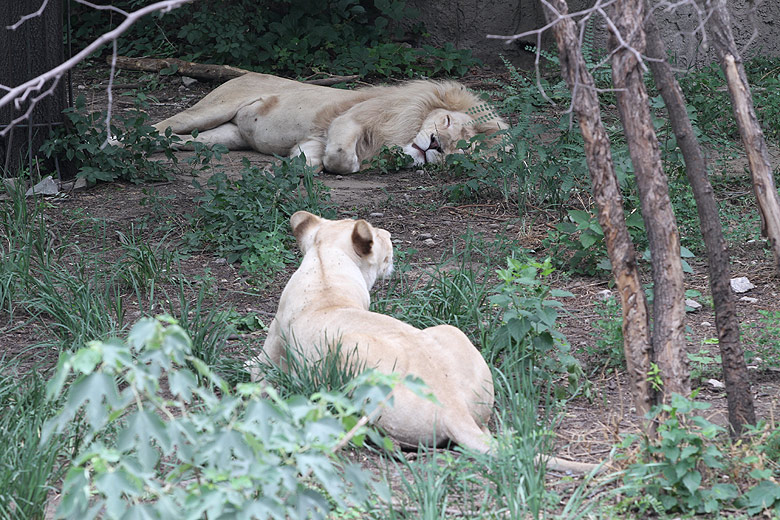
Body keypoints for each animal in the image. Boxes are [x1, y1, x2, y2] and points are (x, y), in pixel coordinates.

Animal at [152, 73, 508, 174]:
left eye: (461, 148)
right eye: (445, 121)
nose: (435, 144)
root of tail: (241, 74)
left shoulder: (315, 140)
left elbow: (314, 161)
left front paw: (286, 169)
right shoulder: (348, 120)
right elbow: (341, 159)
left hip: (224, 137)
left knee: (174, 140)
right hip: (212, 109)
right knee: (156, 127)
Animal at [252, 211, 600, 474]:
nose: (389, 233)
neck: (325, 267)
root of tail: (453, 409)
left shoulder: (273, 342)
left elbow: (258, 369)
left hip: (350, 354)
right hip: (450, 332)